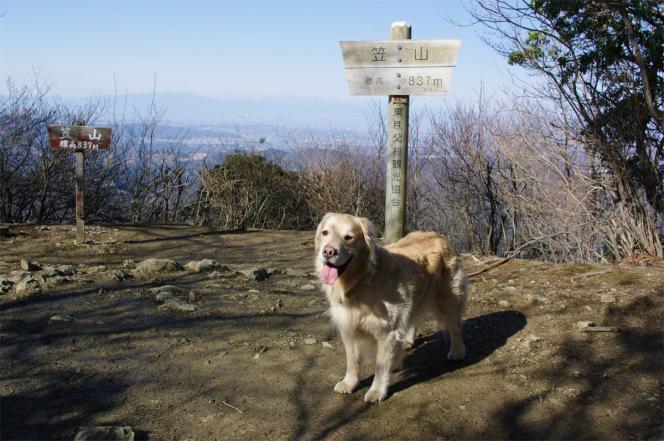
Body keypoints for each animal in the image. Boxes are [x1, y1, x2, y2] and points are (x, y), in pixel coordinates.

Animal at [316, 213, 466, 402]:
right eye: (325, 232)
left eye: (348, 237)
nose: (328, 251)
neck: (362, 281)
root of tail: (440, 236)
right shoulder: (348, 328)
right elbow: (352, 361)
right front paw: (349, 383)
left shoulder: (386, 333)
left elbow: (380, 367)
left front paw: (377, 391)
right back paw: (406, 343)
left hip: (447, 300)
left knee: (455, 326)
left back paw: (457, 351)